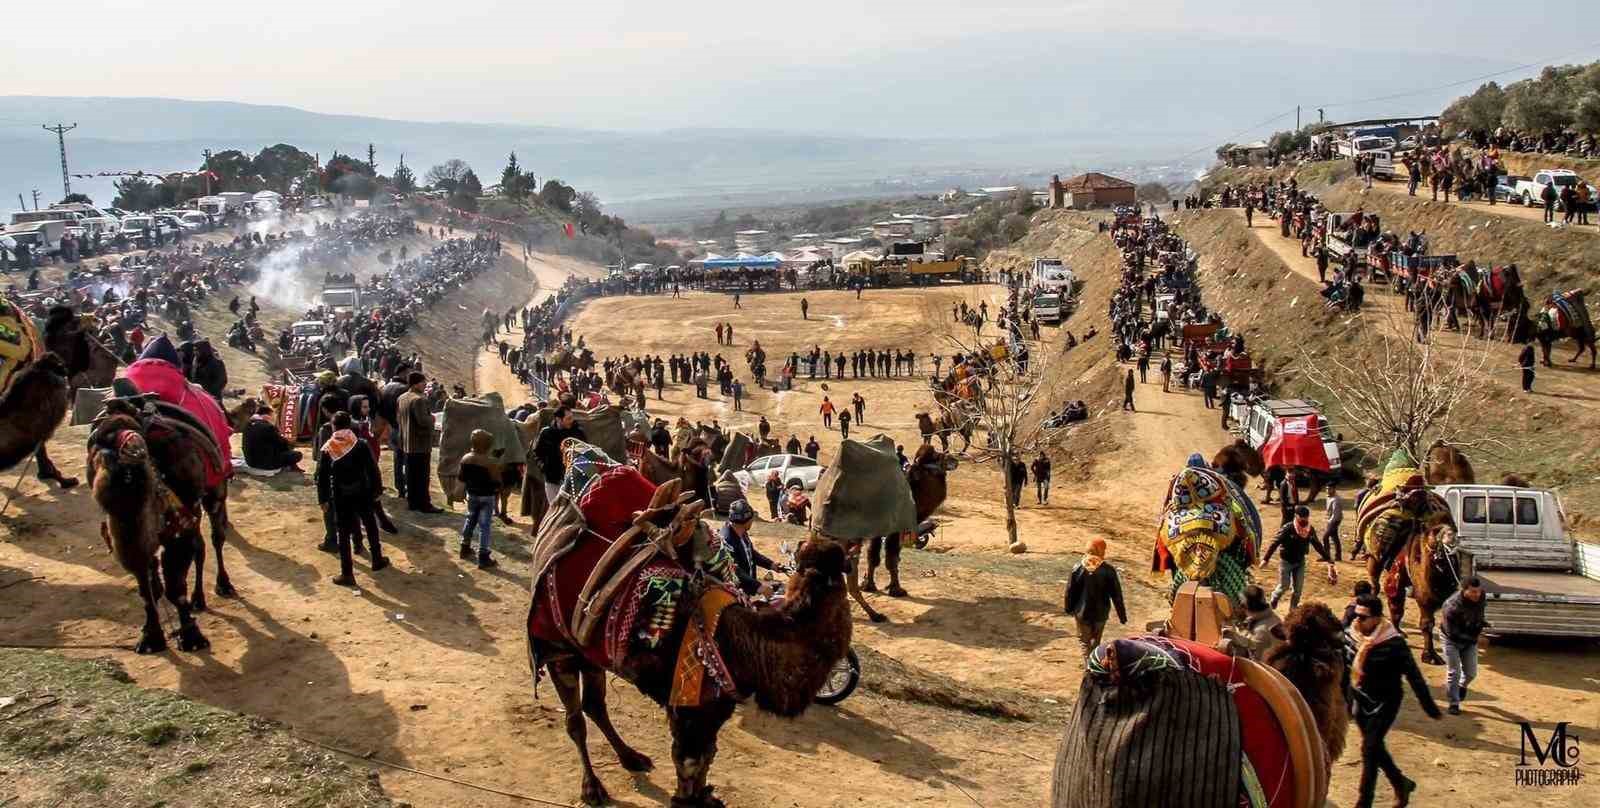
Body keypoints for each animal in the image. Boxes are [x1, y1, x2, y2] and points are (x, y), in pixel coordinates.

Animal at [524, 444, 851, 803]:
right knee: (575, 720)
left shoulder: (716, 710)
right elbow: (690, 764)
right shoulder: (689, 709)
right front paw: (689, 798)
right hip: (557, 647)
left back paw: (632, 758)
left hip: (589, 650)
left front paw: (707, 796)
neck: (745, 645)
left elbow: (706, 759)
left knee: (595, 705)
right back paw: (593, 788)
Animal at [864, 441, 947, 604]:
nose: (953, 459)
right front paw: (896, 589)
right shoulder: (893, 529)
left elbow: (875, 555)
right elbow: (890, 558)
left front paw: (869, 585)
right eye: (934, 458)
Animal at [1356, 448, 1459, 662]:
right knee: (1375, 582)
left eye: (1451, 527)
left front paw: (1431, 654)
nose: (1449, 538)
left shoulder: (1430, 594)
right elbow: (1397, 605)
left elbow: (1428, 622)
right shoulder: (1400, 576)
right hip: (1374, 557)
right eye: (1434, 532)